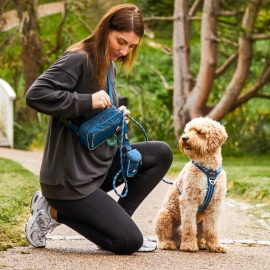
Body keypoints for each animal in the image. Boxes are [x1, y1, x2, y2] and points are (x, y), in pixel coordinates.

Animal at [154, 116, 228, 253]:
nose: (184, 138)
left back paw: (202, 244)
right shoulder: (189, 200)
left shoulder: (215, 205)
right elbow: (189, 227)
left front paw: (215, 246)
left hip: (202, 221)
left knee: (202, 234)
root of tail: (177, 240)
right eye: (188, 131)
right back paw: (168, 243)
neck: (208, 170)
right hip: (164, 216)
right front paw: (189, 245)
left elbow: (213, 229)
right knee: (163, 237)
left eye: (199, 132)